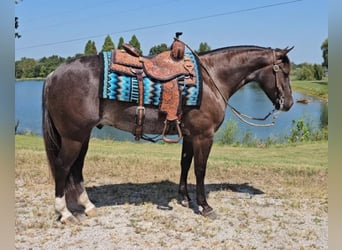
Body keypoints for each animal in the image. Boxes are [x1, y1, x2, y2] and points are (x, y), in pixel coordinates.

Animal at [42, 44, 294, 222]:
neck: (212, 79)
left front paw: (185, 198)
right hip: (73, 137)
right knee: (63, 167)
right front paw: (205, 206)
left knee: (76, 169)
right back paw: (65, 213)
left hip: (81, 137)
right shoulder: (204, 136)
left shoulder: (190, 135)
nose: (289, 103)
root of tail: (53, 74)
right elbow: (200, 170)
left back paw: (88, 206)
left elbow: (185, 164)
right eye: (285, 72)